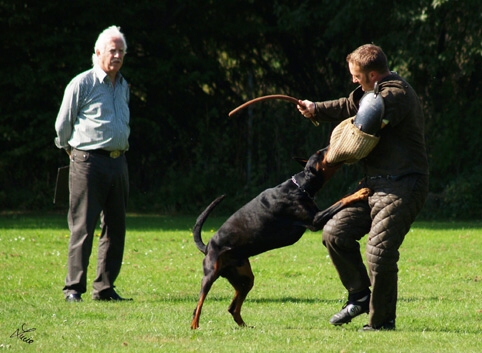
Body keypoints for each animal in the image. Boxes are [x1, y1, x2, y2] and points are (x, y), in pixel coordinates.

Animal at [190, 147, 370, 328]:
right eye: (320, 153)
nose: (329, 147)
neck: (301, 187)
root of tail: (207, 246)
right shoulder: (315, 220)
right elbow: (341, 201)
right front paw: (360, 192)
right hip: (210, 273)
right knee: (198, 304)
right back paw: (195, 326)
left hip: (244, 278)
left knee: (233, 307)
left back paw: (245, 326)